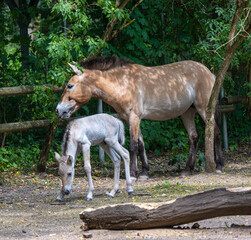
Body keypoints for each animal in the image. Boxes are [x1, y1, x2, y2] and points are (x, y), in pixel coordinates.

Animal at [56, 56, 223, 180]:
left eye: (70, 86)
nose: (58, 110)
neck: (122, 84)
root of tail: (210, 73)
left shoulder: (134, 118)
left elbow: (133, 145)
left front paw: (133, 174)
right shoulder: (130, 119)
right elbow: (141, 144)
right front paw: (144, 172)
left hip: (204, 110)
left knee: (215, 131)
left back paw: (219, 166)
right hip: (187, 113)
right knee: (194, 137)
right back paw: (187, 169)